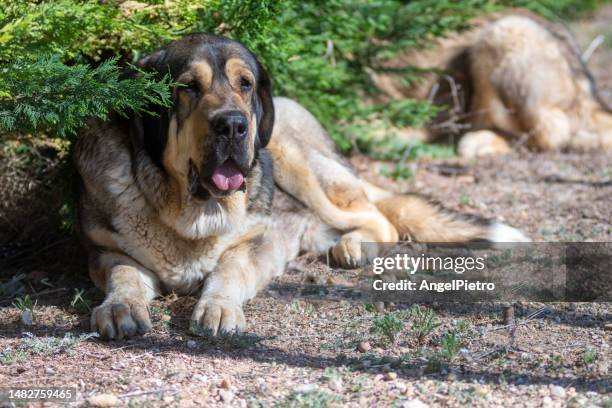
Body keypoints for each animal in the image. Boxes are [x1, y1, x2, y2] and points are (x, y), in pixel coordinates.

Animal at [75, 33, 524, 340]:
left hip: (293, 160)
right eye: (187, 87)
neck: (192, 212)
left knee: (379, 217)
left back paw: (355, 245)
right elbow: (124, 274)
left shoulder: (255, 240)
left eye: (245, 84)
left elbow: (229, 268)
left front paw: (218, 307)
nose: (233, 125)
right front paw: (119, 307)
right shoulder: (106, 249)